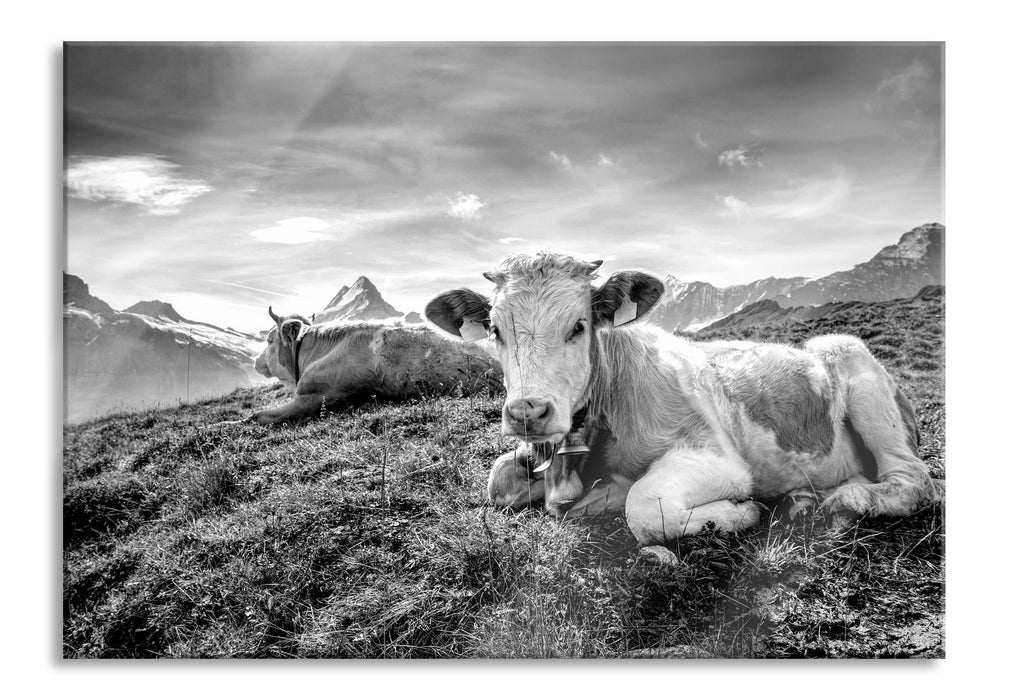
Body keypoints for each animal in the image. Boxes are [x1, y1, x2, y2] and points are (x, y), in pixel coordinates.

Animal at [423, 253, 936, 548]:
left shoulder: (719, 458)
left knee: (914, 480)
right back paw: (804, 500)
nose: (528, 411)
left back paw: (841, 498)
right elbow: (497, 480)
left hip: (855, 368)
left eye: (579, 326)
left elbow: (645, 506)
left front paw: (738, 513)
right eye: (495, 329)